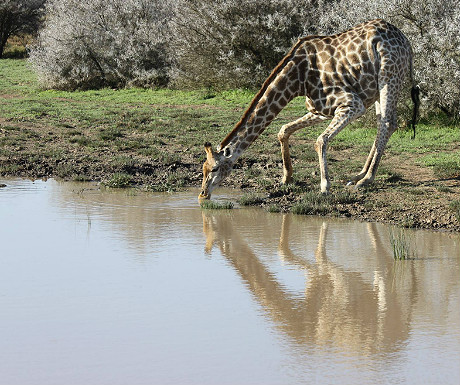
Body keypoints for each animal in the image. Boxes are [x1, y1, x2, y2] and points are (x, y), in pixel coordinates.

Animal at [199, 18, 420, 200]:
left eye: (215, 169)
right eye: (203, 168)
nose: (202, 194)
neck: (298, 79)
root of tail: (407, 43)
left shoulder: (351, 104)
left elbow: (320, 140)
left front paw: (324, 187)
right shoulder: (319, 110)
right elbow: (283, 130)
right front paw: (287, 178)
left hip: (389, 76)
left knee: (388, 123)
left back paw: (366, 179)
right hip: (376, 90)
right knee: (382, 122)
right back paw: (358, 175)